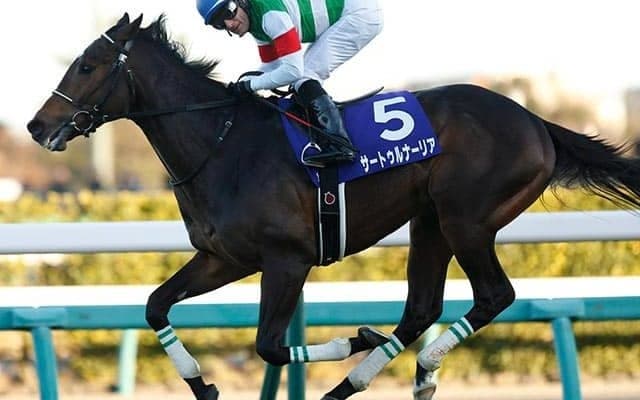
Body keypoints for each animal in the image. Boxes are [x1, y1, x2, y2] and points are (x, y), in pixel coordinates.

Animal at [27, 13, 640, 400]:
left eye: (87, 66)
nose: (35, 126)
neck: (221, 144)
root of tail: (535, 121)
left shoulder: (287, 260)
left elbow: (271, 347)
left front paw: (353, 338)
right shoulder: (224, 258)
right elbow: (156, 306)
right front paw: (202, 383)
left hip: (467, 220)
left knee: (495, 295)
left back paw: (410, 364)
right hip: (429, 222)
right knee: (420, 308)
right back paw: (372, 378)